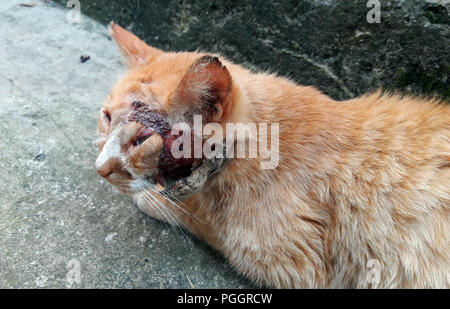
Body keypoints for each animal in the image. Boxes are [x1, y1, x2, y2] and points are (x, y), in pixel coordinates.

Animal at [96, 22, 450, 288]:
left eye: (141, 140)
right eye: (107, 116)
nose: (100, 169)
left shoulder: (287, 262)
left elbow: (202, 221)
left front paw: (157, 198)